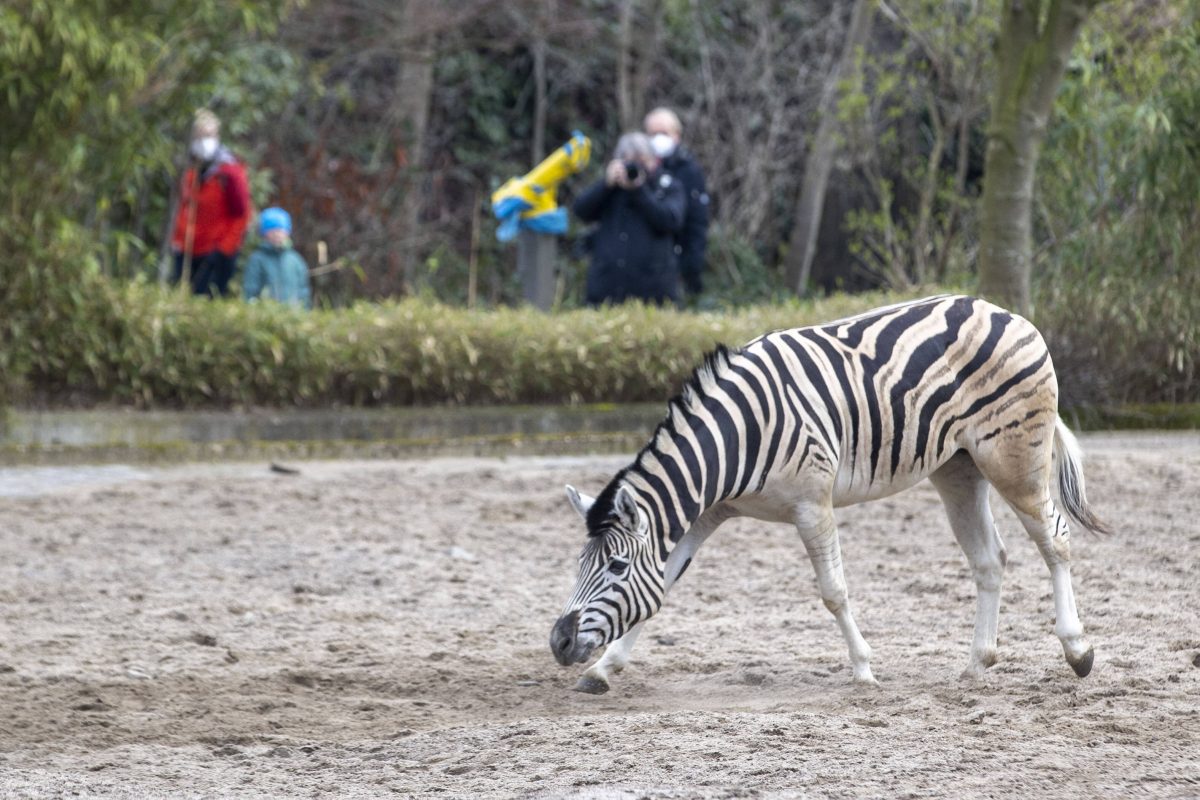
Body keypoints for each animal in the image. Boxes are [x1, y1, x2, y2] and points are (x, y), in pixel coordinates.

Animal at [549, 293, 1104, 695]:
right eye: (579, 564)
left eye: (615, 567)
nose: (558, 641)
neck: (734, 443)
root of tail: (1005, 312)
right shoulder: (707, 514)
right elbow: (660, 588)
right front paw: (604, 669)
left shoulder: (812, 504)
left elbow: (834, 591)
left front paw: (863, 669)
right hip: (958, 469)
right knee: (990, 559)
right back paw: (976, 665)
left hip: (1013, 460)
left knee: (1055, 539)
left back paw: (1077, 650)